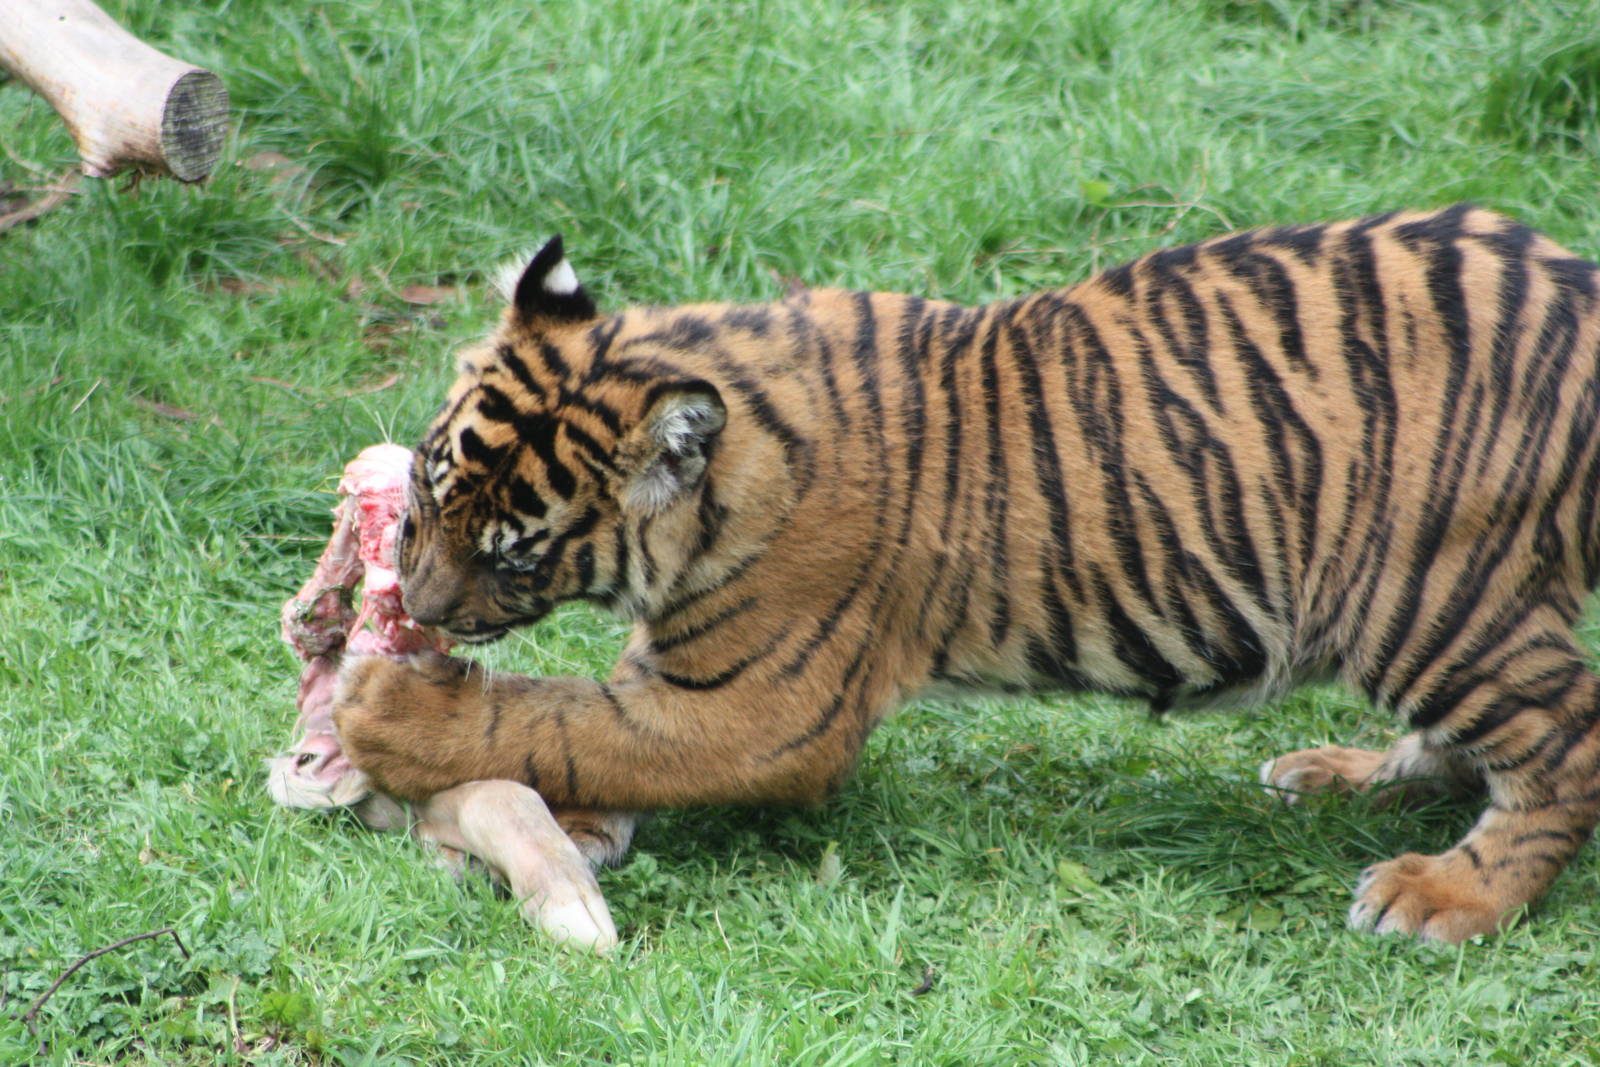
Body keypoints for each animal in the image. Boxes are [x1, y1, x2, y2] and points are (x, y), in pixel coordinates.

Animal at [331, 204, 1600, 943]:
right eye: (430, 493)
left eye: (516, 550)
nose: (421, 609)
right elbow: (580, 727)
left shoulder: (761, 706)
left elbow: (555, 714)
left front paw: (387, 707)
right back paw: (1340, 773)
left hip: (1420, 591)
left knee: (1563, 734)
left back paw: (1445, 894)